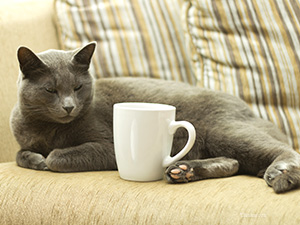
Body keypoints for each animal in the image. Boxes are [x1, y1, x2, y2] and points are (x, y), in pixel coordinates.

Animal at [10, 42, 300, 193]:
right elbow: (20, 154)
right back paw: (182, 172)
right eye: (51, 90)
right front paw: (35, 158)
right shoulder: (24, 138)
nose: (69, 106)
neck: (48, 129)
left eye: (78, 87)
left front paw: (46, 159)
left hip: (224, 130)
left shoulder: (109, 146)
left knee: (281, 150)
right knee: (233, 163)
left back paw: (281, 173)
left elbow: (56, 157)